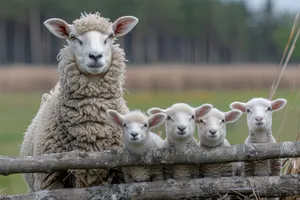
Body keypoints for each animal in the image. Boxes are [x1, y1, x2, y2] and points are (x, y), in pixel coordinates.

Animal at [19, 12, 139, 192]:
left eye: (111, 36)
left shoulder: (119, 171)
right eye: (73, 37)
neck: (90, 126)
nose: (95, 56)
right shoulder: (49, 178)